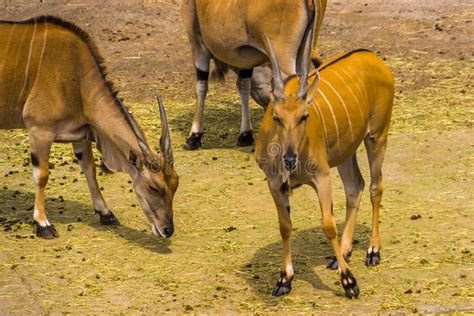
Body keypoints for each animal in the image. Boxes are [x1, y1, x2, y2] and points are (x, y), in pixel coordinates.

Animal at [0, 16, 178, 239]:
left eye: (175, 184)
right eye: (153, 187)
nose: (168, 230)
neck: (77, 78)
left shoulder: (79, 136)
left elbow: (90, 170)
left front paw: (106, 214)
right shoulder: (39, 131)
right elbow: (42, 176)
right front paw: (43, 224)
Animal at [181, 0, 326, 149]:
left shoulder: (197, 43)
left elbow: (201, 87)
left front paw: (194, 136)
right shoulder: (245, 61)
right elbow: (243, 86)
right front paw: (245, 135)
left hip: (283, 59)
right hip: (303, 53)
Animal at [254, 32, 394, 298]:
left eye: (304, 116)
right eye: (276, 117)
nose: (289, 159)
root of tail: (372, 57)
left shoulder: (321, 176)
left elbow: (328, 225)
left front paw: (349, 282)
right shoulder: (274, 184)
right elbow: (285, 226)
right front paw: (284, 280)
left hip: (377, 136)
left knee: (376, 187)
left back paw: (373, 251)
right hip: (345, 151)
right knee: (355, 187)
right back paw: (344, 251)